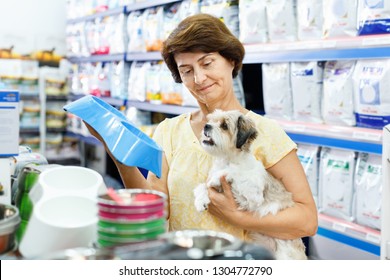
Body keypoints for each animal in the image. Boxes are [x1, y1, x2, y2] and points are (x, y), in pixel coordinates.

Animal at [193, 109, 306, 260]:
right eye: (210, 120)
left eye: (224, 126)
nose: (206, 126)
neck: (227, 160)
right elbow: (202, 186)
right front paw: (201, 200)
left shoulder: (253, 197)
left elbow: (235, 173)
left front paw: (218, 177)